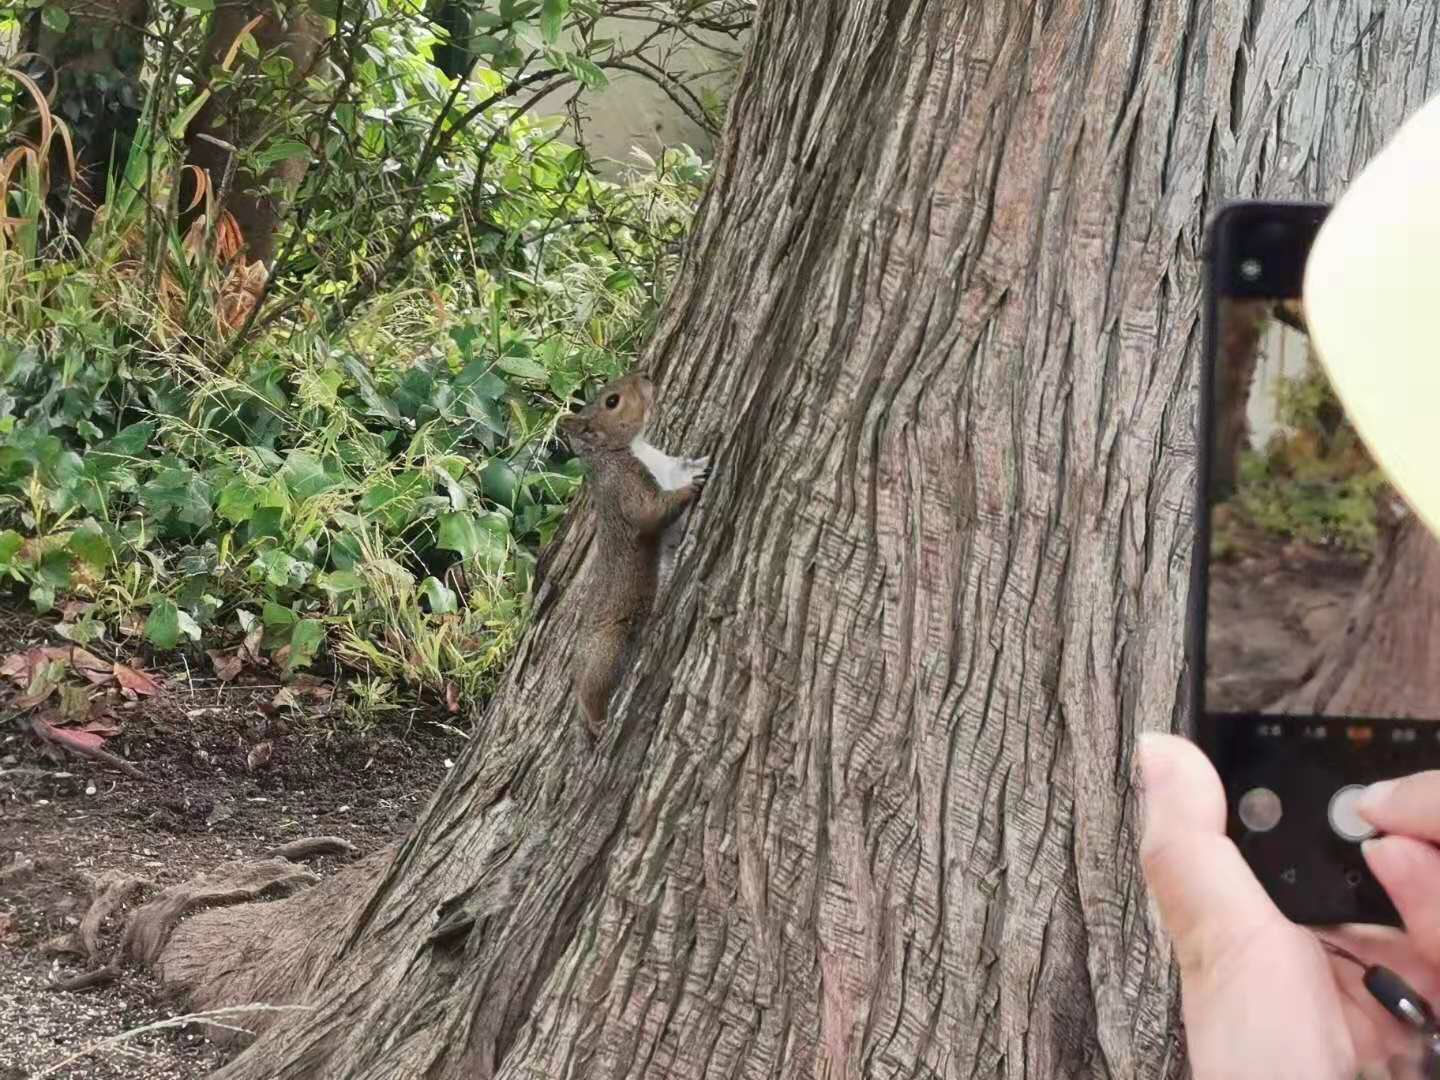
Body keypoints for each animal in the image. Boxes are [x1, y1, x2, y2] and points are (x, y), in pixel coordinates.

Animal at [552, 377, 705, 743]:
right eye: (612, 401)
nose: (646, 376)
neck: (624, 449)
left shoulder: (667, 465)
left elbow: (681, 466)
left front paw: (699, 462)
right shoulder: (626, 488)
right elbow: (650, 513)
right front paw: (689, 489)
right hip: (608, 651)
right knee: (594, 692)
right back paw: (598, 721)